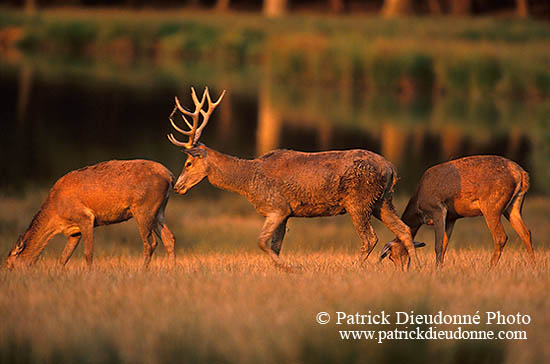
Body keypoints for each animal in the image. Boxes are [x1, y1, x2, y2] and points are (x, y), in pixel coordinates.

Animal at [5, 161, 176, 268]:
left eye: (9, 265)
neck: (56, 215)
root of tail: (170, 175)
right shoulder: (73, 232)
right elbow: (63, 258)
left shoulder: (85, 217)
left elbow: (88, 253)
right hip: (158, 211)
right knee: (169, 238)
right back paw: (171, 270)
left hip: (143, 209)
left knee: (151, 243)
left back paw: (142, 271)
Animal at [168, 87, 422, 270]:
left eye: (188, 163)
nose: (178, 186)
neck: (249, 180)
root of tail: (391, 169)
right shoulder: (286, 212)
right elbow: (275, 245)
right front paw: (280, 270)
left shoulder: (276, 206)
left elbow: (262, 241)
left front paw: (291, 268)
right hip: (383, 200)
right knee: (404, 229)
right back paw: (418, 267)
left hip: (358, 200)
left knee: (370, 238)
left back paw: (355, 267)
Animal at [382, 155, 536, 268]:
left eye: (392, 256)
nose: (401, 271)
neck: (418, 208)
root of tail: (521, 173)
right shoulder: (451, 218)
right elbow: (444, 245)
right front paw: (439, 269)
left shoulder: (437, 208)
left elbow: (438, 246)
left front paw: (435, 270)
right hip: (514, 206)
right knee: (526, 232)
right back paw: (533, 266)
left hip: (492, 205)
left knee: (501, 237)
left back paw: (490, 268)